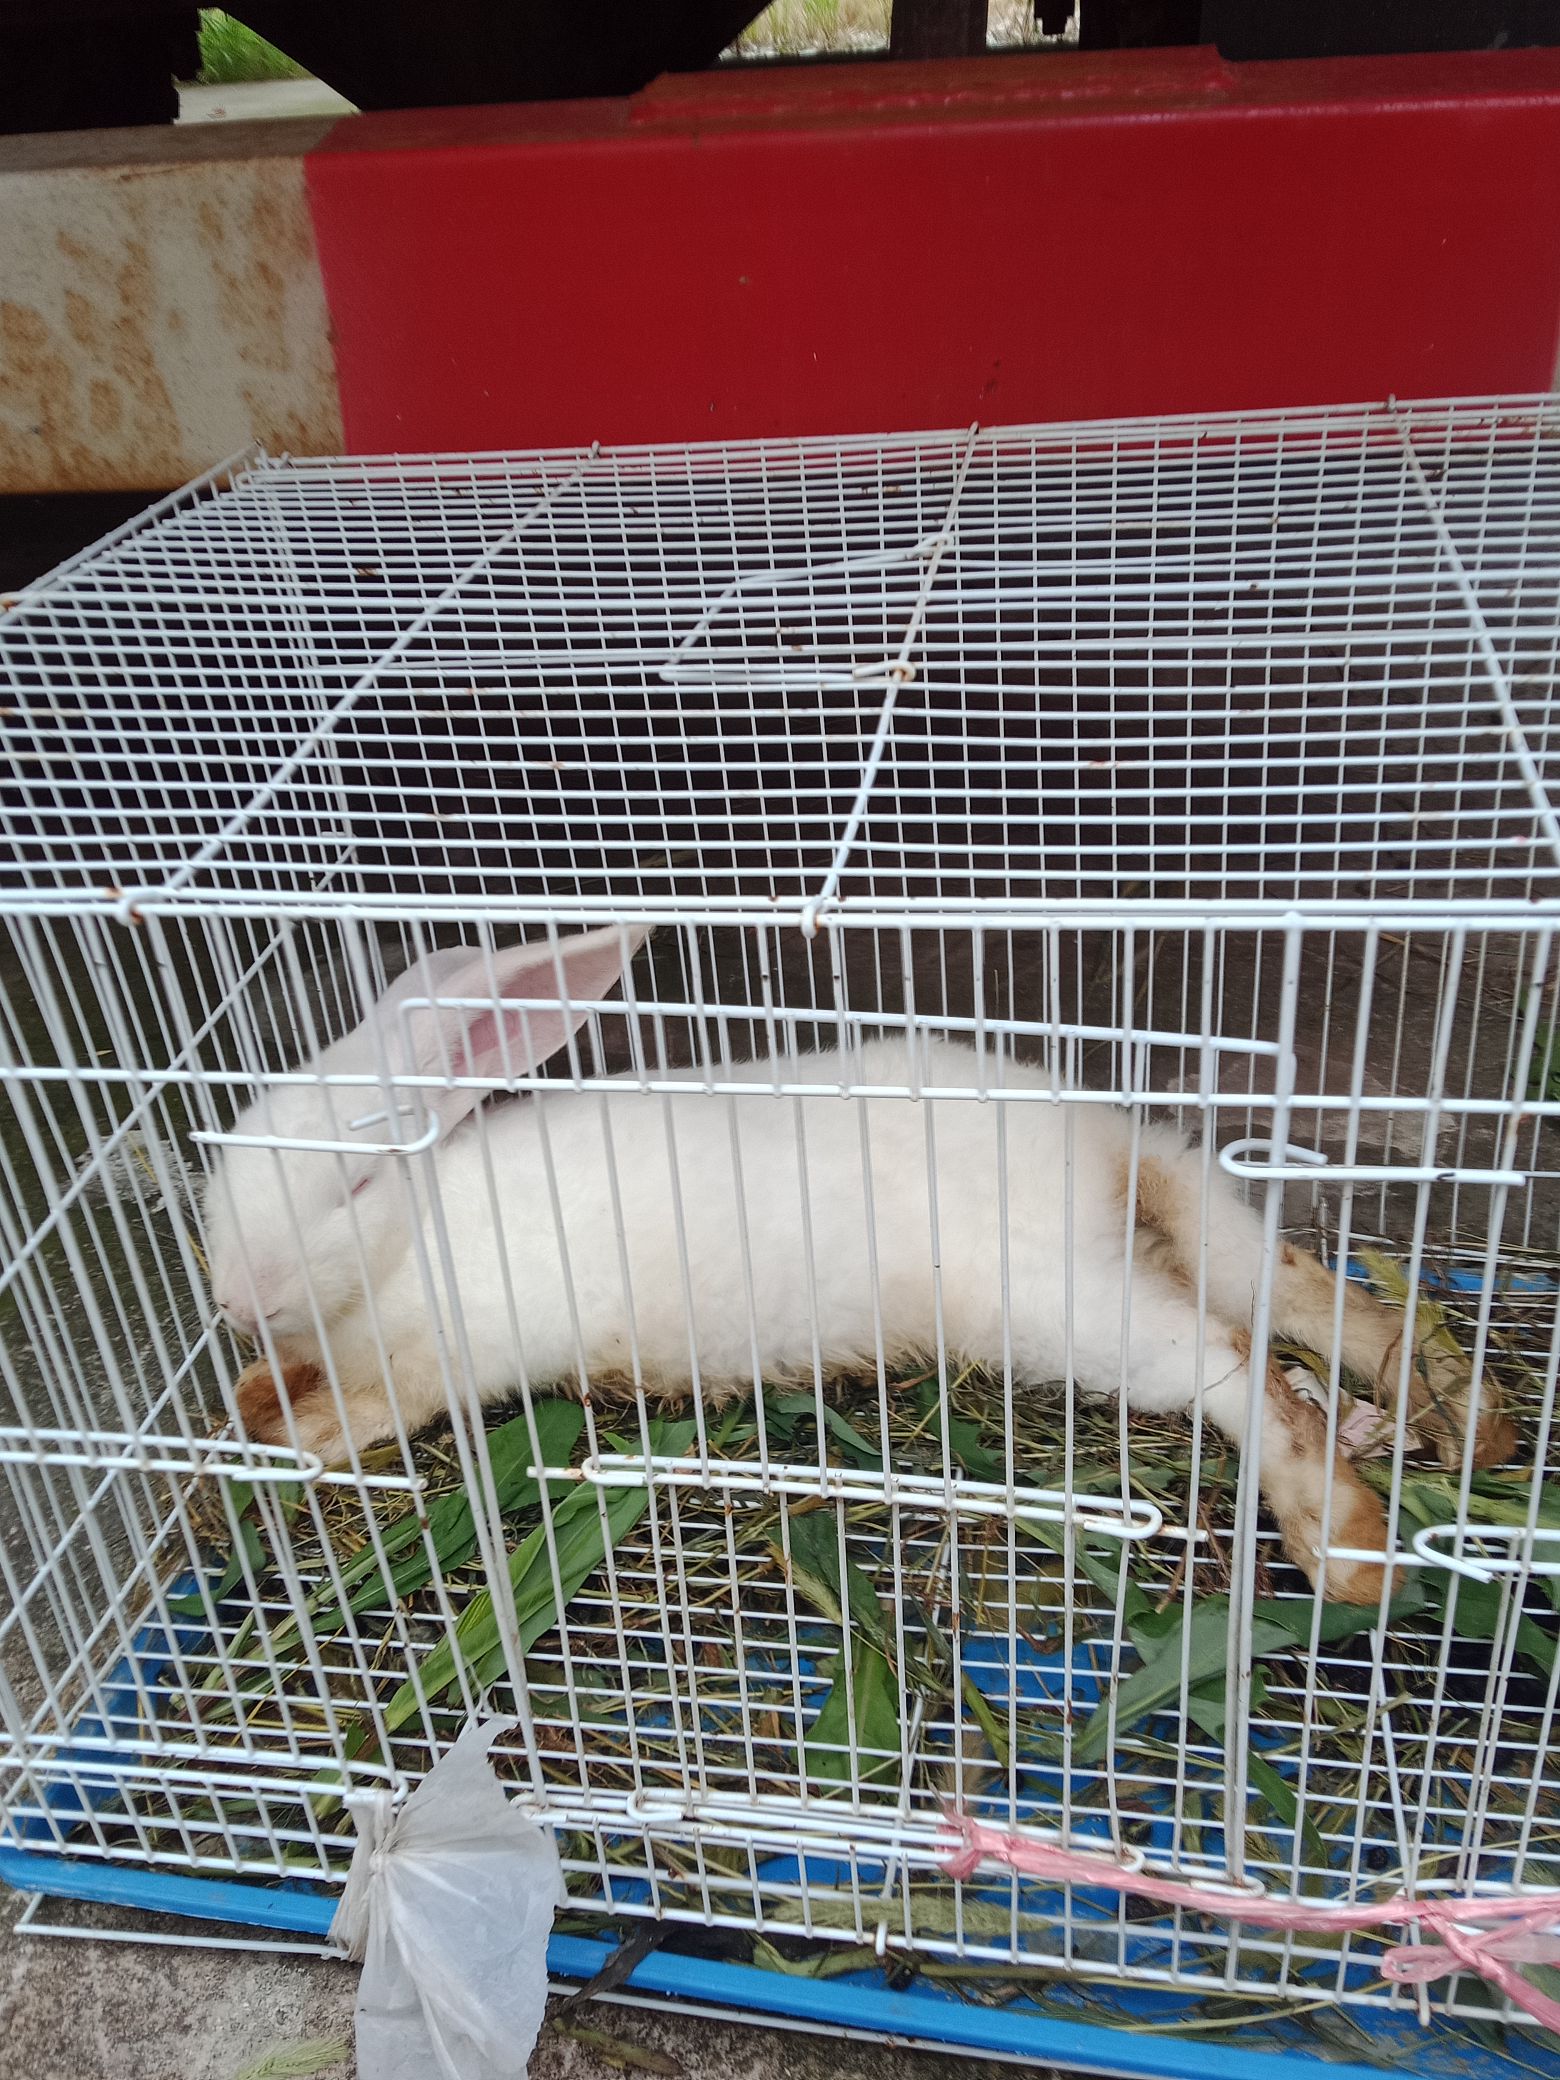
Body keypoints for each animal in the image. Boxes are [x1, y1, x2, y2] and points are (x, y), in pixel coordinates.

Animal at [203, 926, 1516, 1607]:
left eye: (348, 1188)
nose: (233, 1299)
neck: (411, 1238)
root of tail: (1098, 1143)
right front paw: (255, 1387)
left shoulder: (439, 1357)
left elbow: (369, 1410)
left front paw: (280, 1427)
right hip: (1189, 1235)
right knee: (1297, 1289)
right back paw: (1453, 1418)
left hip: (1057, 1307)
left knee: (1234, 1363)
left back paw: (1345, 1545)